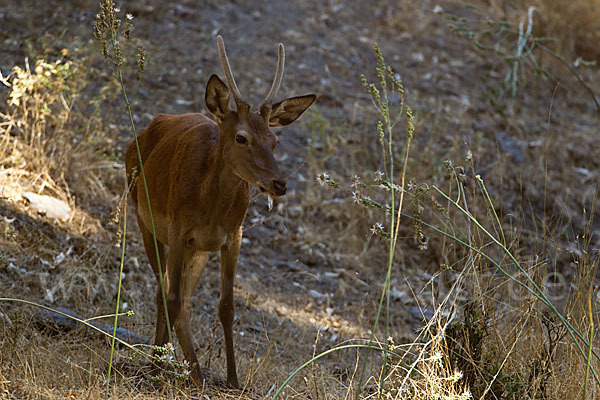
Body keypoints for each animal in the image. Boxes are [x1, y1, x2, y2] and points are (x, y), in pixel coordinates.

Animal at [125, 35, 316, 388]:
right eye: (241, 137)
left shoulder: (233, 236)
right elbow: (170, 298)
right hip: (144, 219)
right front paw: (158, 369)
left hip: (197, 249)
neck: (208, 209)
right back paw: (162, 363)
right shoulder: (177, 229)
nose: (279, 184)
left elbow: (226, 306)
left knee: (183, 301)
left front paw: (233, 379)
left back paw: (194, 371)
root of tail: (142, 134)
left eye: (274, 139)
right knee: (164, 293)